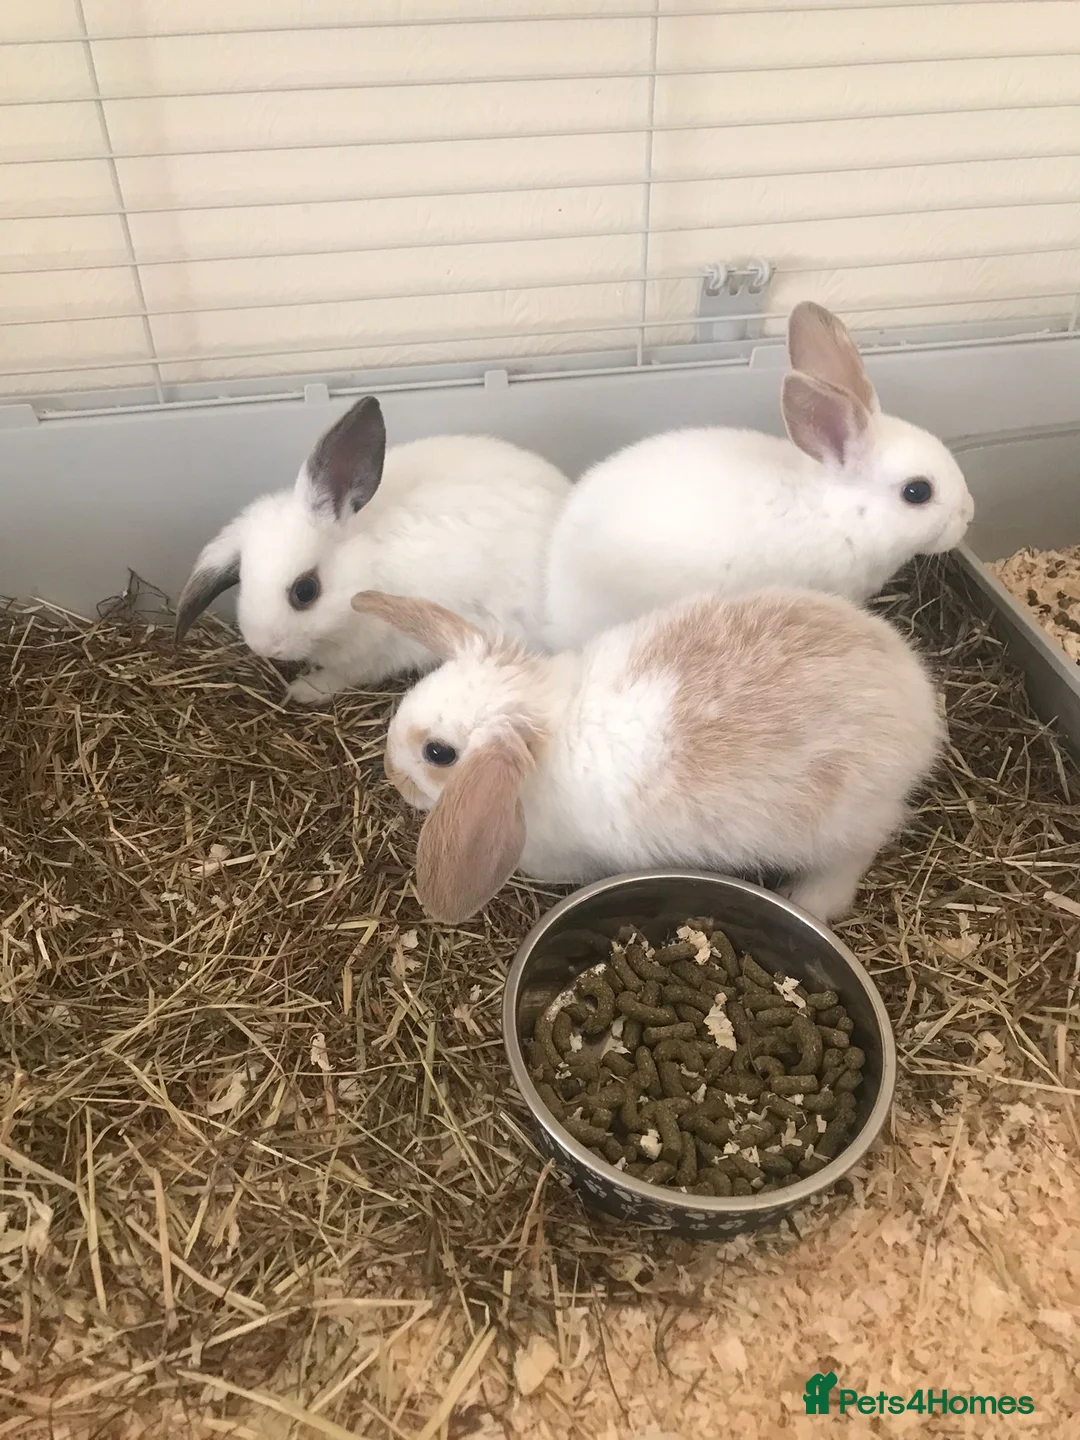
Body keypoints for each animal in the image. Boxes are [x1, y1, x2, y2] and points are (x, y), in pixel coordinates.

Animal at [175, 395, 572, 703]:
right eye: (243, 579)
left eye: (305, 591)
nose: (263, 647)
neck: (365, 566)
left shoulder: (373, 653)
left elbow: (341, 677)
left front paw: (304, 690)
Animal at [351, 584, 943, 925]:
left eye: (438, 753)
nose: (392, 776)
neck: (545, 724)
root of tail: (919, 705)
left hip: (845, 824)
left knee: (851, 858)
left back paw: (811, 902)